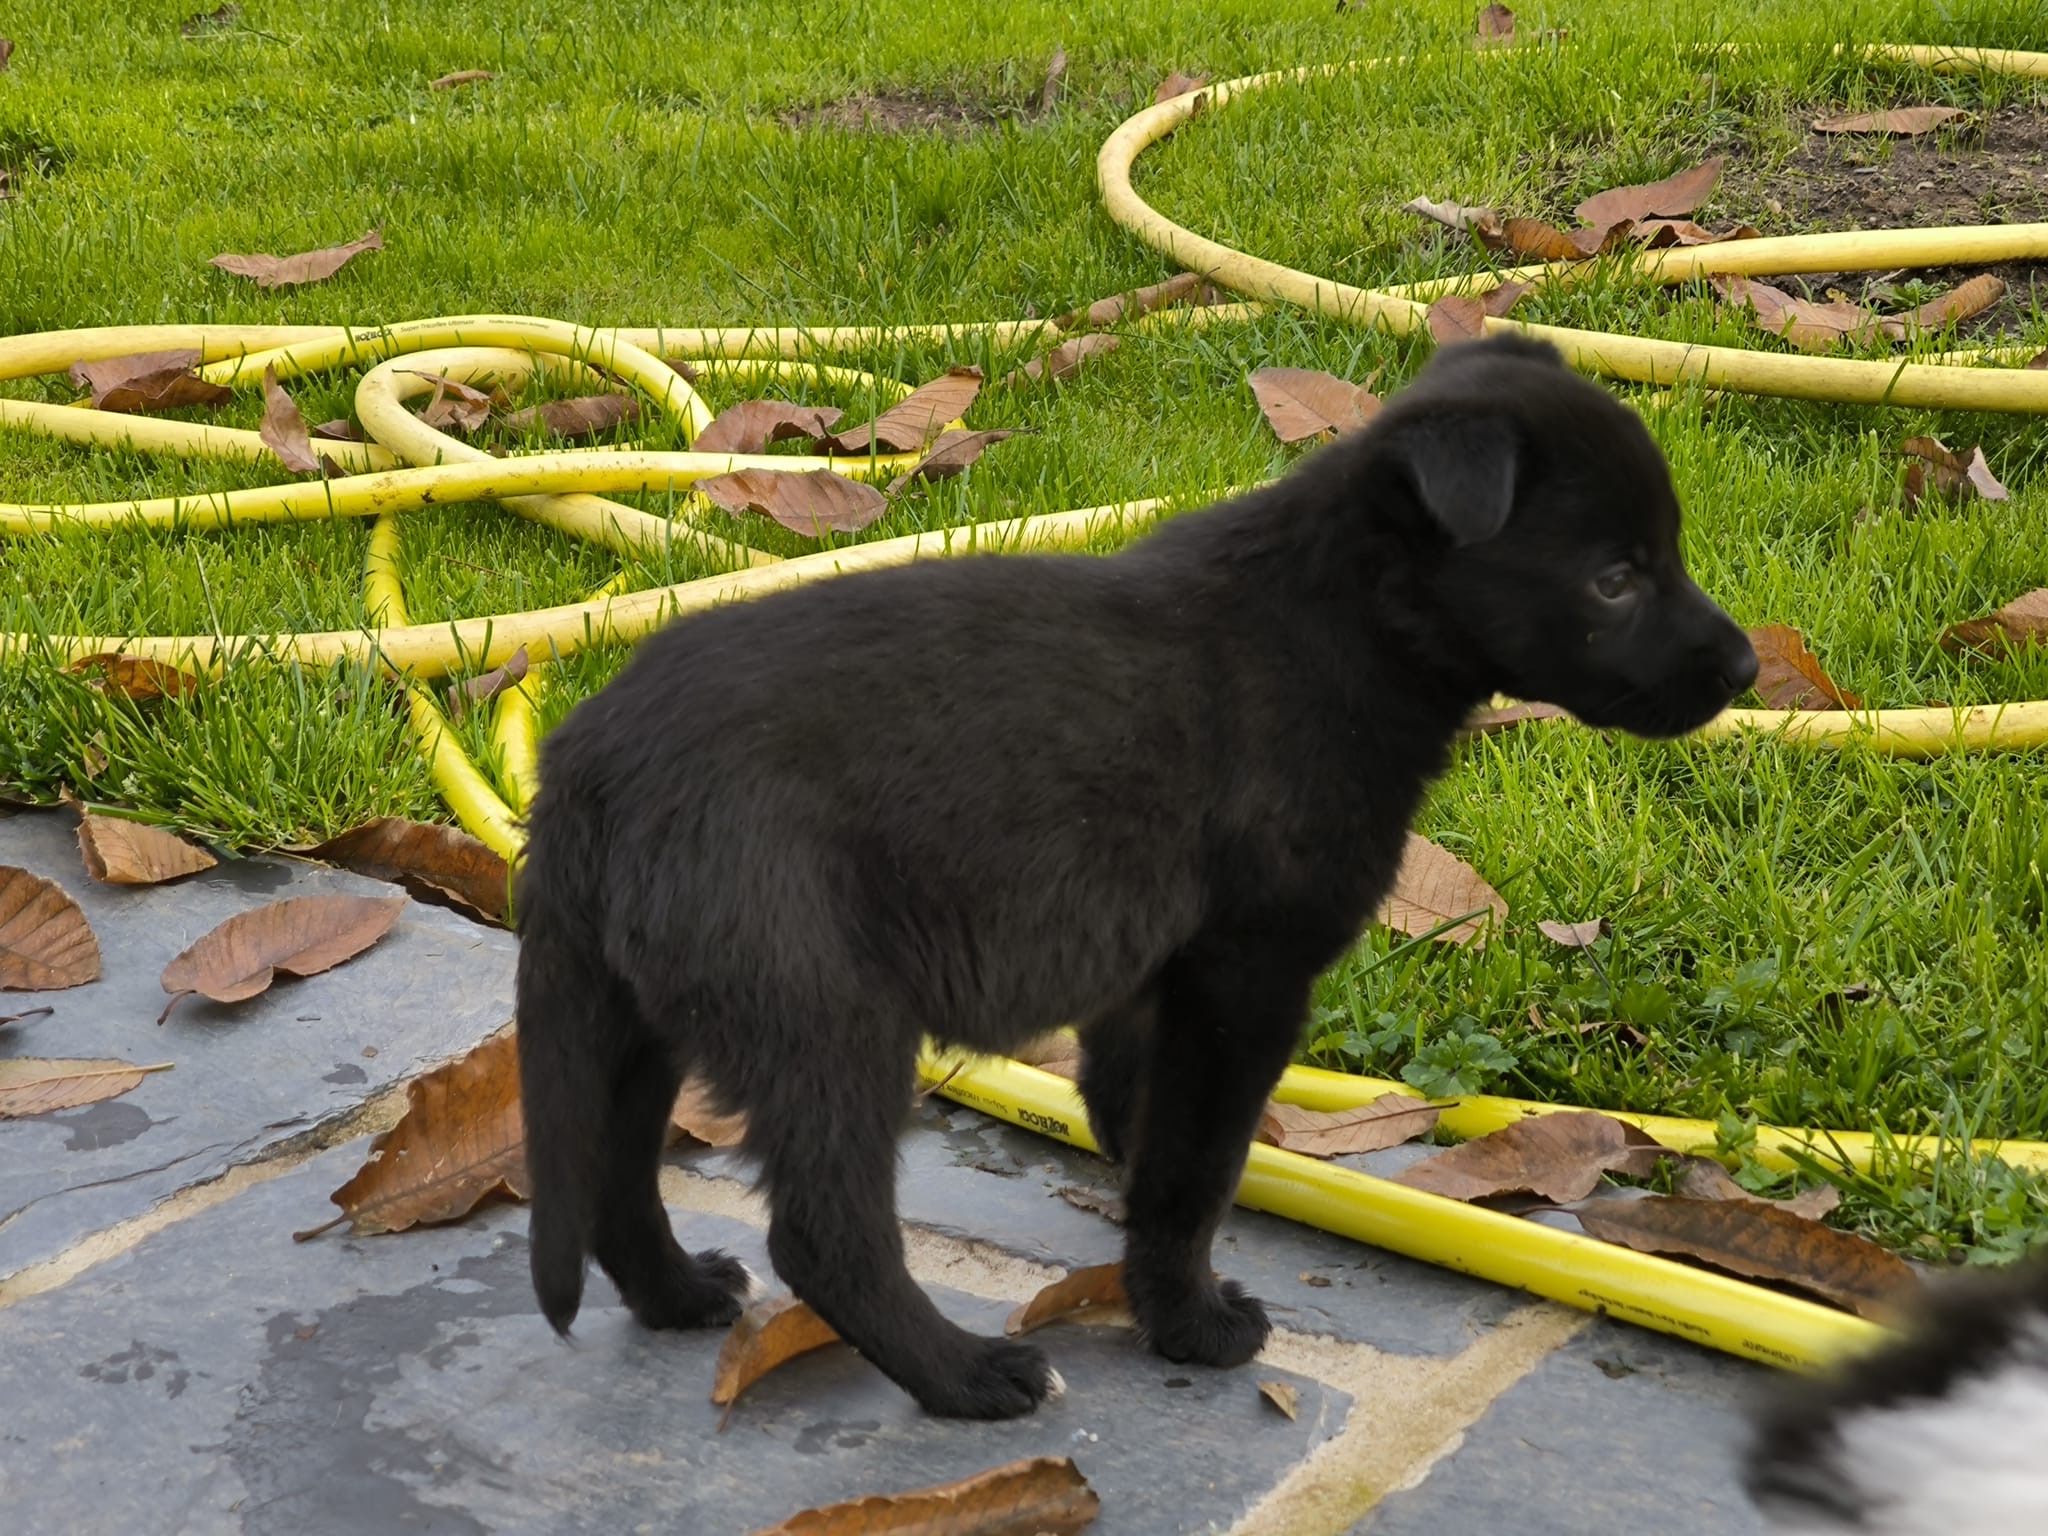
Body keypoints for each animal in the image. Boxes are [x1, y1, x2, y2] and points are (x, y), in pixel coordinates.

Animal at [512, 332, 1760, 1418]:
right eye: (1613, 580)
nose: (1748, 668)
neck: (1341, 621)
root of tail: (585, 758)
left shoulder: (1147, 964)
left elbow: (1136, 1116)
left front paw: (1140, 1228)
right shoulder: (1246, 973)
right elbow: (1193, 1167)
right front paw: (1192, 1321)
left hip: (638, 1005)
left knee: (613, 1173)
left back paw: (678, 1294)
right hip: (824, 1012)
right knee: (822, 1230)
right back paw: (966, 1376)